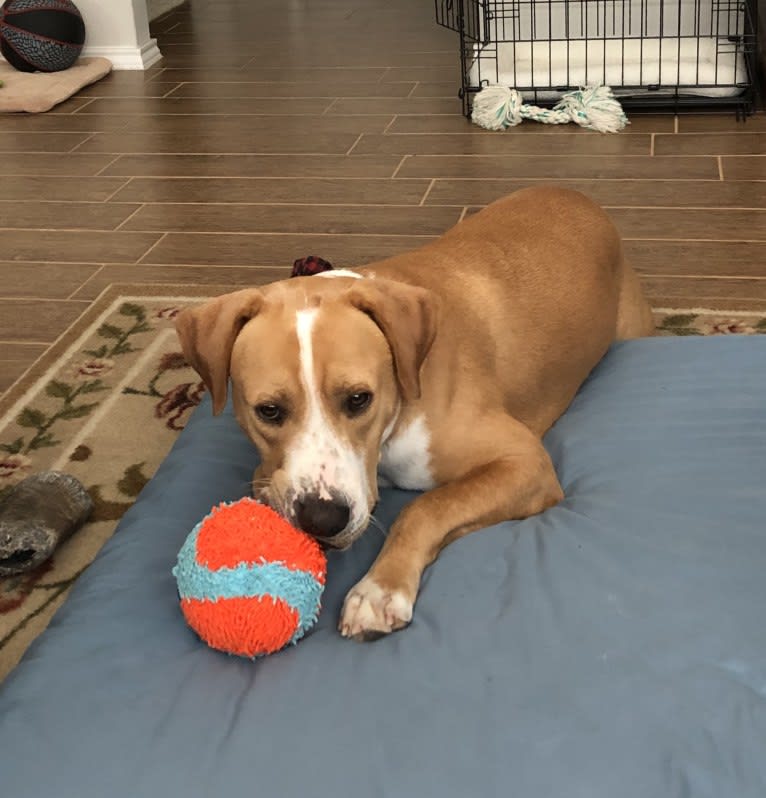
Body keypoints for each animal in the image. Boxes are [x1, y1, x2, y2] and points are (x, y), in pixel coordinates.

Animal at [176, 188, 656, 644]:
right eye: (269, 410)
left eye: (359, 399)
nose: (322, 519)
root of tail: (582, 199)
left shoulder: (525, 463)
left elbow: (425, 507)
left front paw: (379, 590)